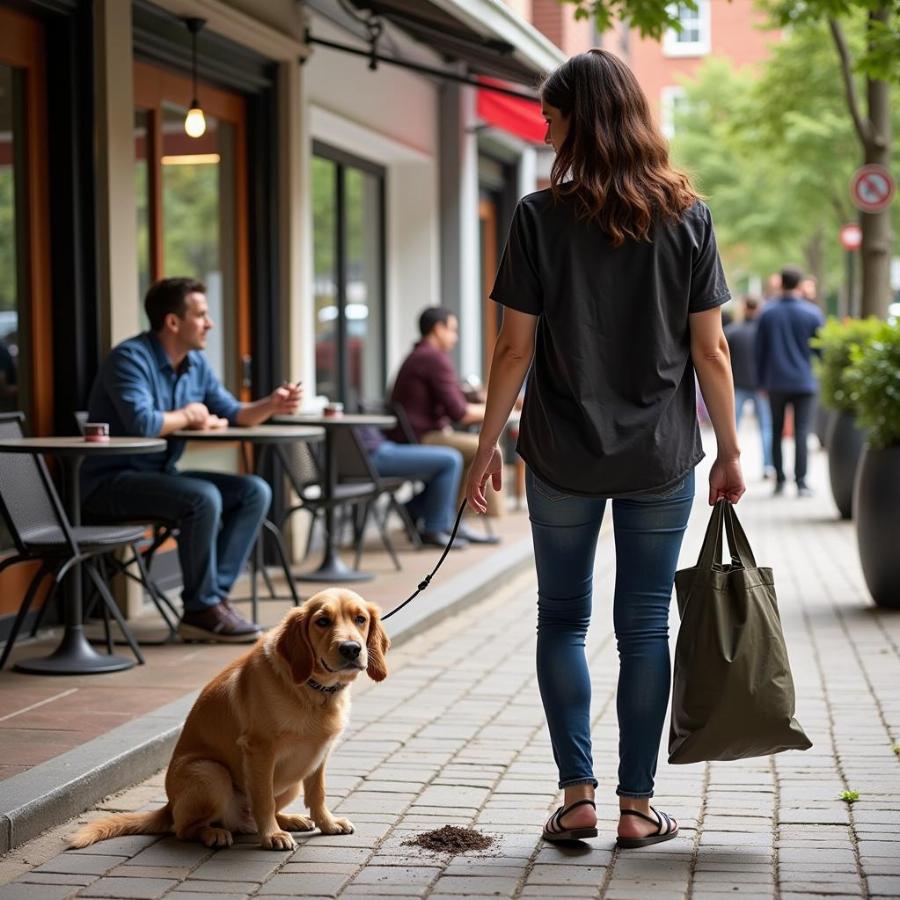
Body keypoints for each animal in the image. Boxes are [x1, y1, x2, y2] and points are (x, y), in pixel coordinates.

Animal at [69, 592, 386, 852]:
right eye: (322, 621)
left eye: (360, 619)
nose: (351, 649)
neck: (314, 691)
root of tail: (169, 806)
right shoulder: (260, 750)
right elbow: (263, 798)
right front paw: (272, 835)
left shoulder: (319, 753)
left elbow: (317, 793)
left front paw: (327, 823)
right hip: (211, 773)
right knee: (185, 829)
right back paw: (215, 834)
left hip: (292, 781)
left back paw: (290, 819)